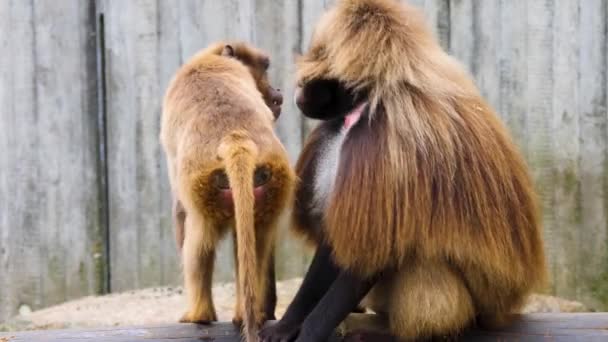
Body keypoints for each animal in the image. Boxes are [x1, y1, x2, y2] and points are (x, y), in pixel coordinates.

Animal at [160, 40, 296, 342]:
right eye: (264, 68)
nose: (277, 92)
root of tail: (235, 139)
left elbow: (181, 215)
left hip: (203, 186)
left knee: (198, 243)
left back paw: (199, 315)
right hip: (270, 183)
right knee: (256, 240)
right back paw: (246, 315)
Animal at [260, 0, 548, 342]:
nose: (295, 90)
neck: (377, 95)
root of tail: (504, 309)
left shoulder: (385, 145)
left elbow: (368, 254)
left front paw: (309, 333)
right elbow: (337, 245)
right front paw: (286, 324)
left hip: (482, 306)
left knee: (422, 259)